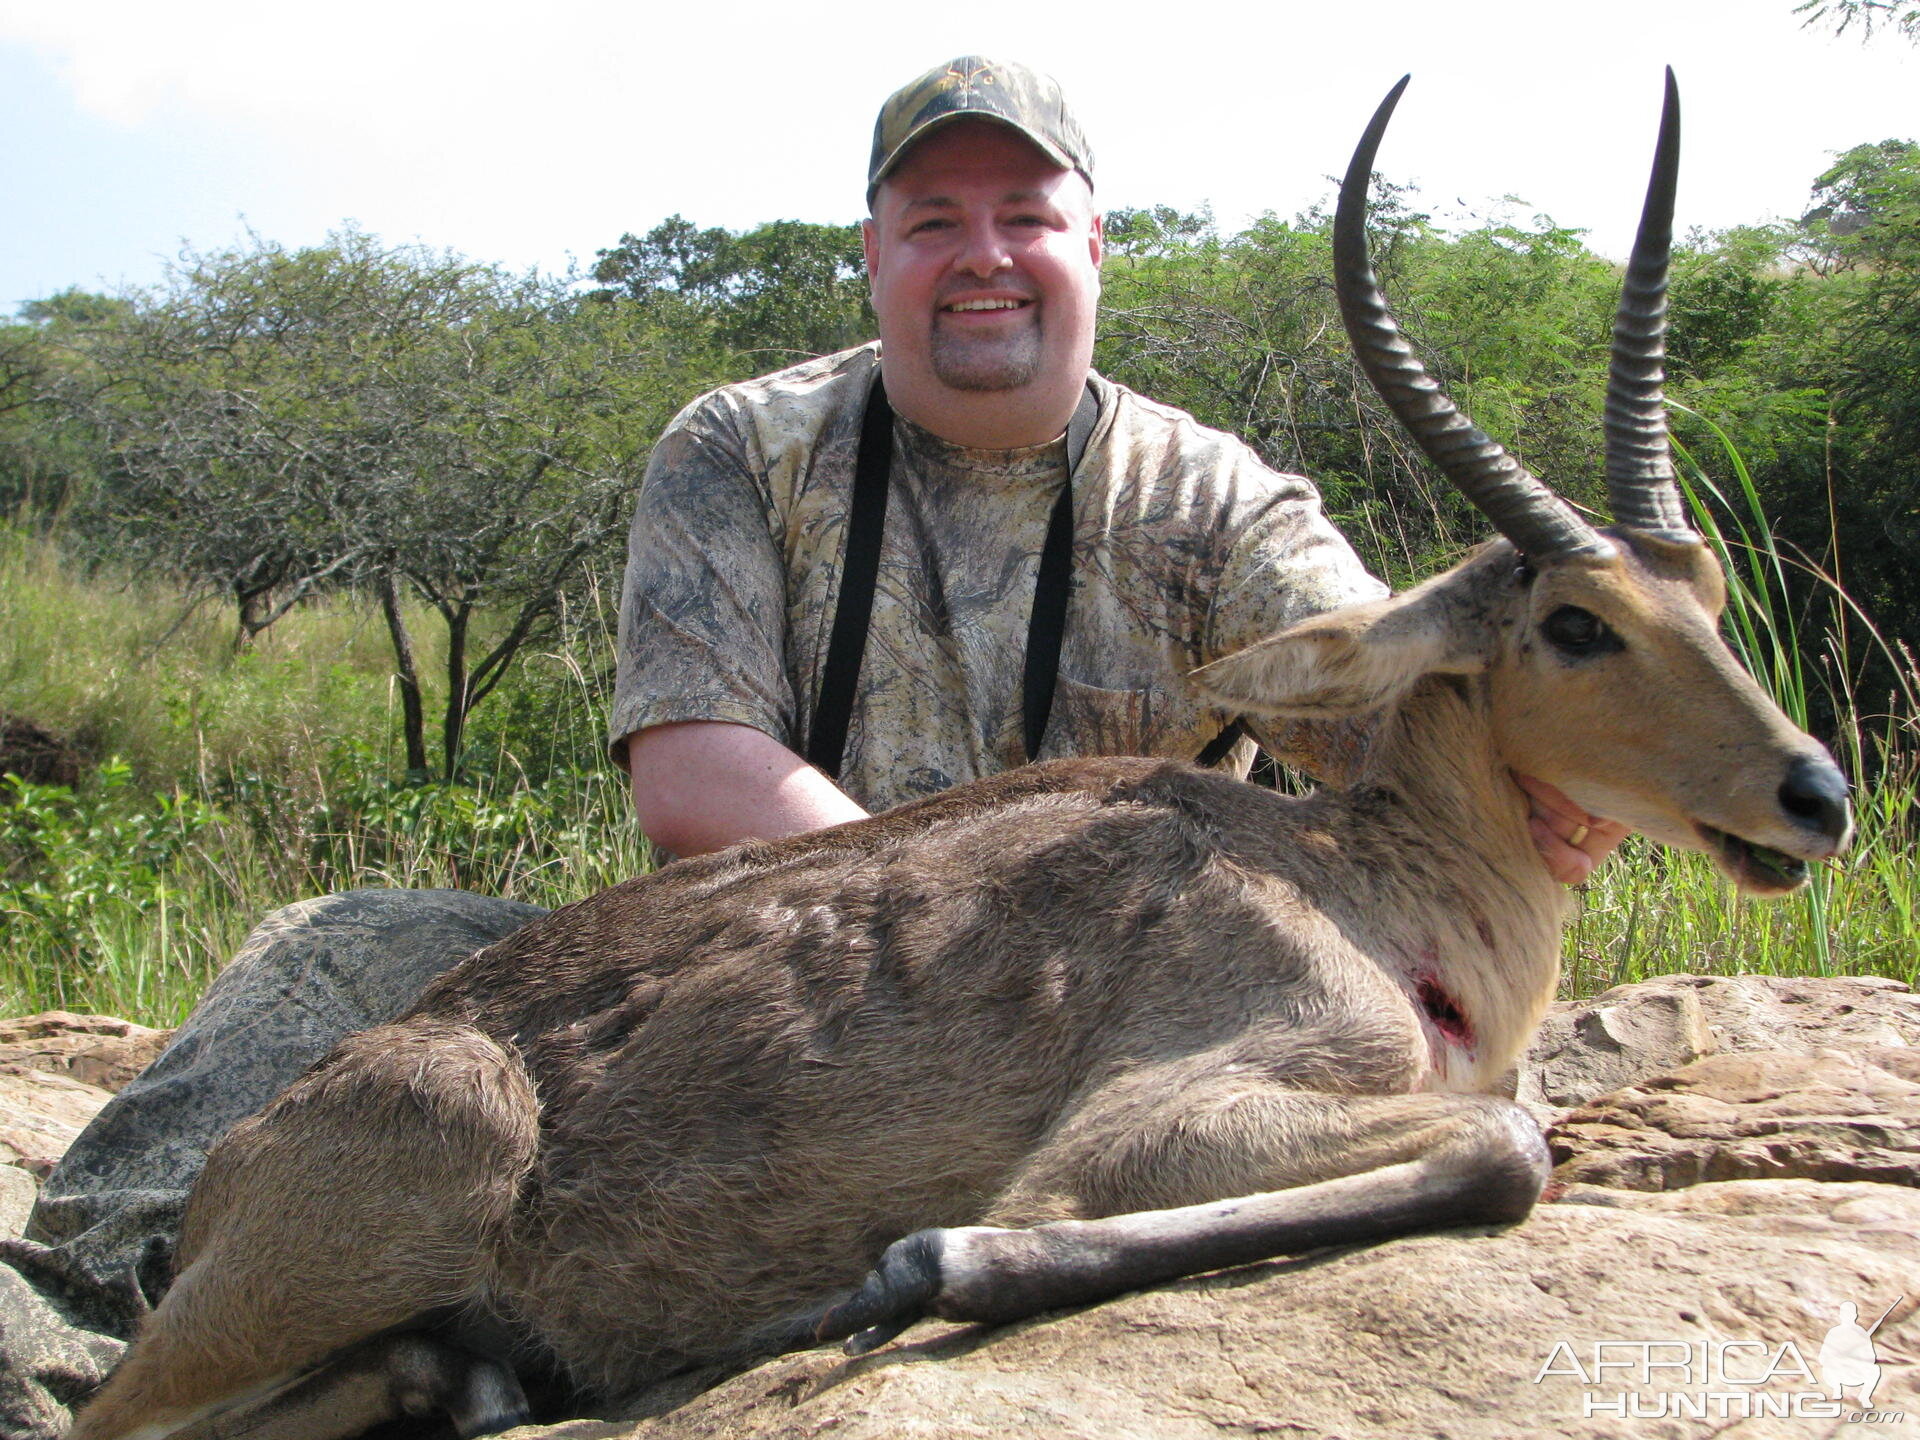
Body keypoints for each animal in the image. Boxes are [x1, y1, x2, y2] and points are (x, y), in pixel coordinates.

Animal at [71, 73, 1843, 1440]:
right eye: (1575, 622)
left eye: (1710, 592)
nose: (1813, 795)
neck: (1362, 882)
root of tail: (238, 1166)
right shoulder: (1162, 1127)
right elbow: (1502, 1149)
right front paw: (920, 1266)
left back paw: (479, 1380)